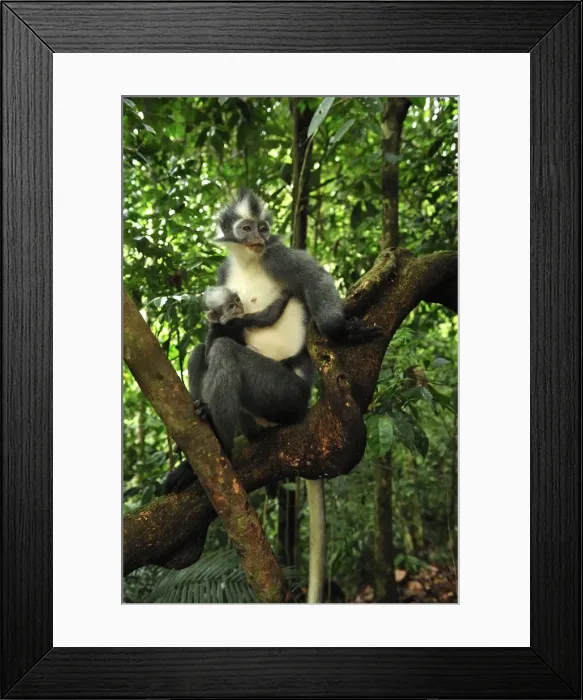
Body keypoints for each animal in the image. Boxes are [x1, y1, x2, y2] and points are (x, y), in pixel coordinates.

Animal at [164, 188, 380, 493]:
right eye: (247, 228)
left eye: (263, 228)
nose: (259, 237)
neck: (249, 261)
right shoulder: (225, 272)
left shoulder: (278, 255)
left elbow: (314, 277)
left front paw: (339, 330)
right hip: (251, 418)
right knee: (199, 352)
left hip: (286, 395)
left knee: (224, 351)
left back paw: (221, 448)